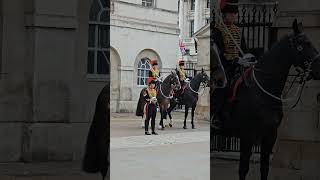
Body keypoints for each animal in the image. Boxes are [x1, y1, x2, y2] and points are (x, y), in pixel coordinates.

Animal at [212, 19, 320, 180]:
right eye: (302, 44)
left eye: (310, 42)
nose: (319, 69)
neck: (263, 90)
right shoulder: (247, 136)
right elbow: (243, 169)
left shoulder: (270, 136)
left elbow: (264, 168)